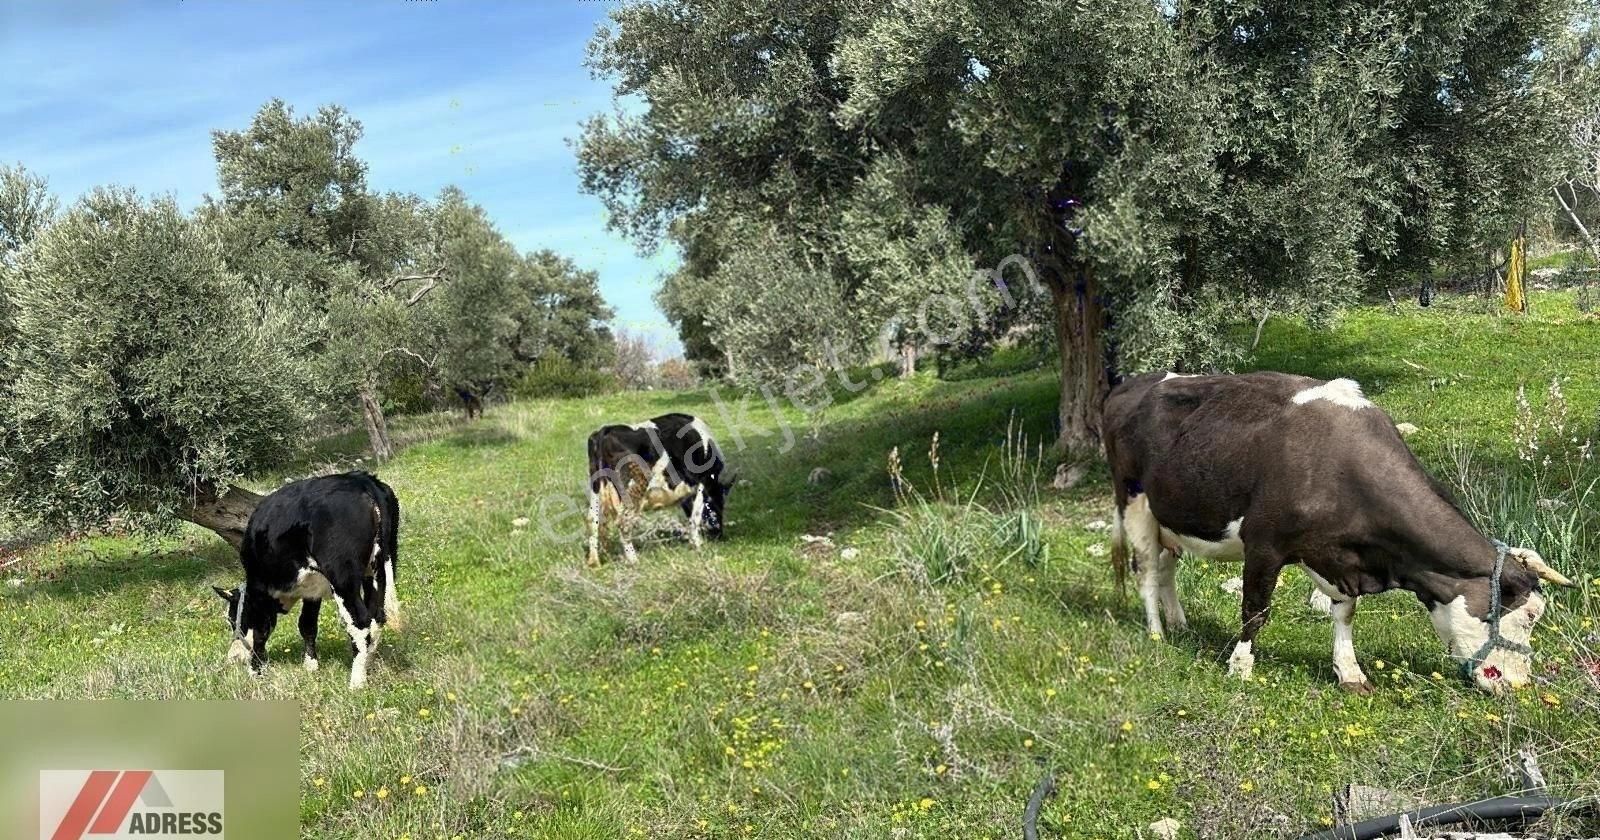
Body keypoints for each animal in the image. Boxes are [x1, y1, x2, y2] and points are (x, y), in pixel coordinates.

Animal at [214, 470, 403, 688]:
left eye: (231, 618)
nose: (233, 657)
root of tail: (360, 480)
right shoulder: (312, 590)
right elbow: (307, 625)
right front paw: (310, 666)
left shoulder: (259, 589)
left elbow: (260, 632)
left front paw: (255, 671)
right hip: (377, 570)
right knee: (377, 616)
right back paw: (368, 662)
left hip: (343, 578)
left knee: (361, 621)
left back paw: (356, 682)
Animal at [588, 412, 732, 563]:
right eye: (720, 504)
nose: (718, 535)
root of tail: (606, 430)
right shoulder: (702, 481)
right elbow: (696, 515)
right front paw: (698, 545)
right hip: (631, 490)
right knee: (623, 522)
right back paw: (633, 560)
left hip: (595, 487)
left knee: (593, 519)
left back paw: (594, 561)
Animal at [1107, 369, 1568, 691]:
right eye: (1527, 616)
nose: (1518, 685)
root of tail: (1131, 383)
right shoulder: (1264, 545)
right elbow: (1255, 610)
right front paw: (1240, 668)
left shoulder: (1339, 556)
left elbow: (1345, 612)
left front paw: (1350, 672)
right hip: (1133, 500)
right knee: (1146, 569)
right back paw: (1156, 632)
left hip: (1170, 517)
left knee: (1166, 566)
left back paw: (1179, 624)